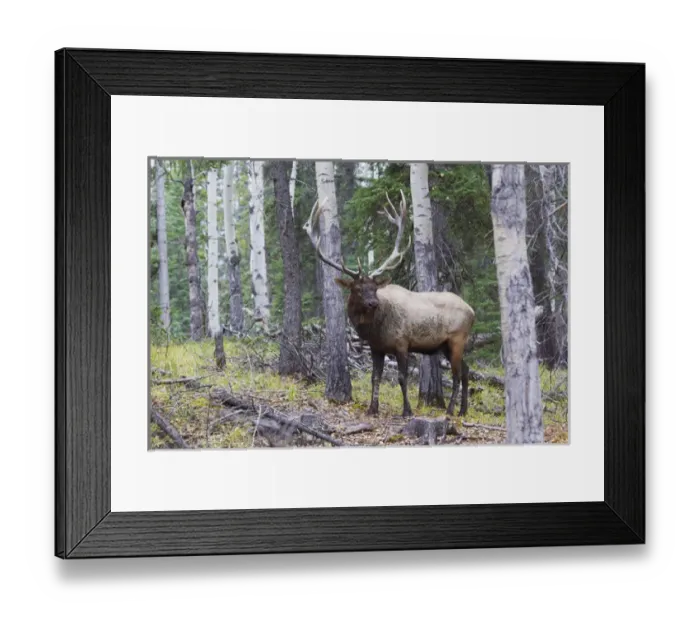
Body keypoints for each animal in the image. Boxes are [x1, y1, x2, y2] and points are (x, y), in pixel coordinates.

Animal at [303, 190, 476, 419]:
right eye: (357, 289)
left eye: (375, 288)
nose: (373, 303)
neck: (374, 329)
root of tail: (472, 311)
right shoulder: (376, 348)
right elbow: (375, 377)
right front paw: (372, 408)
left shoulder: (402, 343)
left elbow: (402, 378)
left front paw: (407, 411)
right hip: (446, 345)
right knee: (466, 370)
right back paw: (463, 410)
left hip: (457, 339)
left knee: (457, 374)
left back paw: (450, 410)